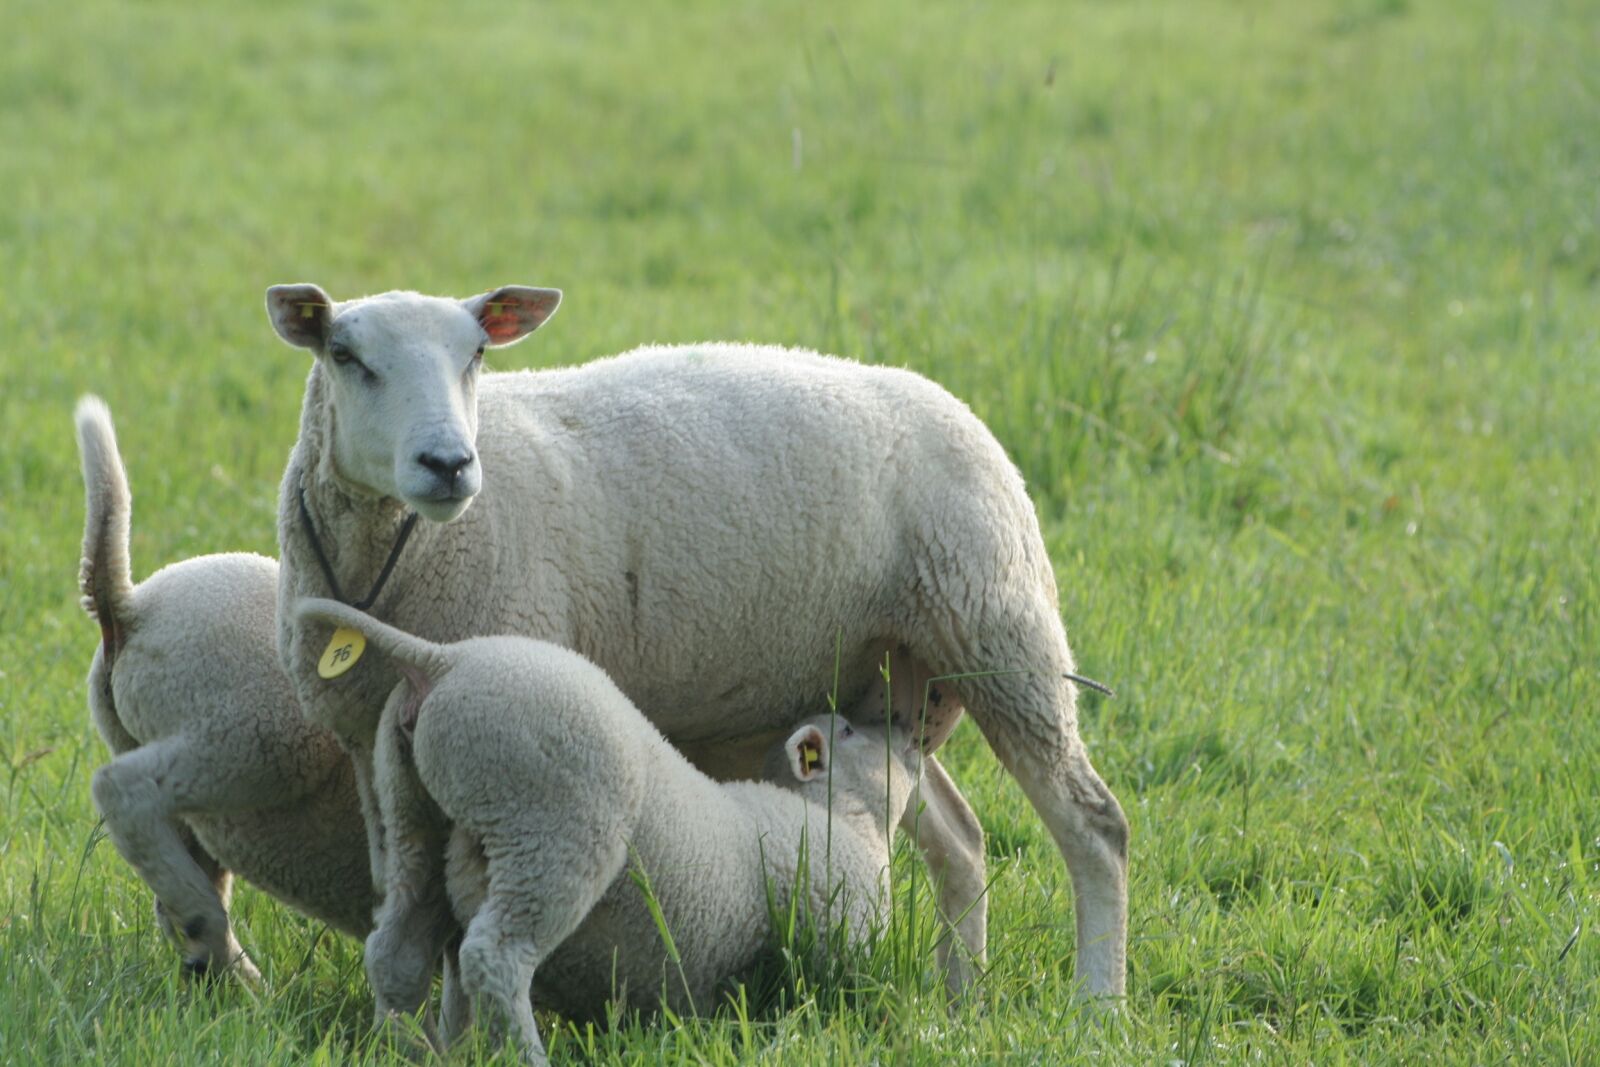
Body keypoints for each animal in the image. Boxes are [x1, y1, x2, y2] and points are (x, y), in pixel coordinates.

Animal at [75, 396, 374, 981]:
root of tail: (130, 608)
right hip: (252, 741)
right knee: (126, 791)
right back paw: (229, 959)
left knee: (172, 888)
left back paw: (219, 970)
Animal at [266, 284, 1128, 1016]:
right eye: (345, 354)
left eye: (476, 353)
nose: (448, 464)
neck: (396, 560)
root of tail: (952, 401)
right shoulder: (371, 744)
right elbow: (399, 900)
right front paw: (405, 1030)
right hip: (894, 685)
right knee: (960, 836)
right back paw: (961, 998)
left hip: (1000, 631)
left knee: (1096, 827)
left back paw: (1097, 1005)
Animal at [297, 597, 918, 1064]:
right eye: (846, 731)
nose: (908, 733)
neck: (846, 822)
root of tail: (443, 660)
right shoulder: (838, 938)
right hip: (551, 827)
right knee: (493, 957)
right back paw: (526, 1057)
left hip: (413, 817)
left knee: (395, 950)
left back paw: (407, 1051)